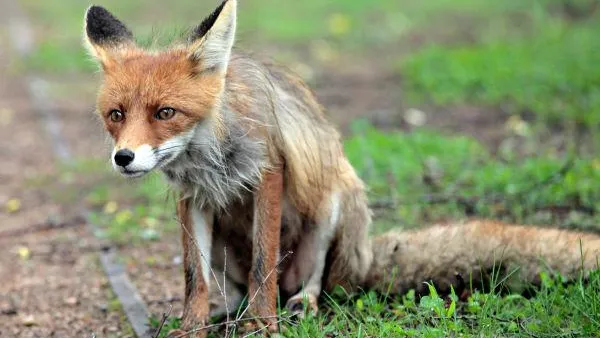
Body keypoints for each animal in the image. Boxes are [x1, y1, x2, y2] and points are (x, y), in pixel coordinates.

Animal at [83, 0, 600, 336]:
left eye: (165, 112)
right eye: (116, 115)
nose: (123, 158)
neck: (208, 155)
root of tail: (365, 257)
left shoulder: (268, 174)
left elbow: (264, 263)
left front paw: (264, 326)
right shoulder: (192, 199)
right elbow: (195, 277)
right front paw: (192, 325)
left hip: (331, 208)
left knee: (310, 284)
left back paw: (297, 307)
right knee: (230, 288)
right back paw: (225, 313)